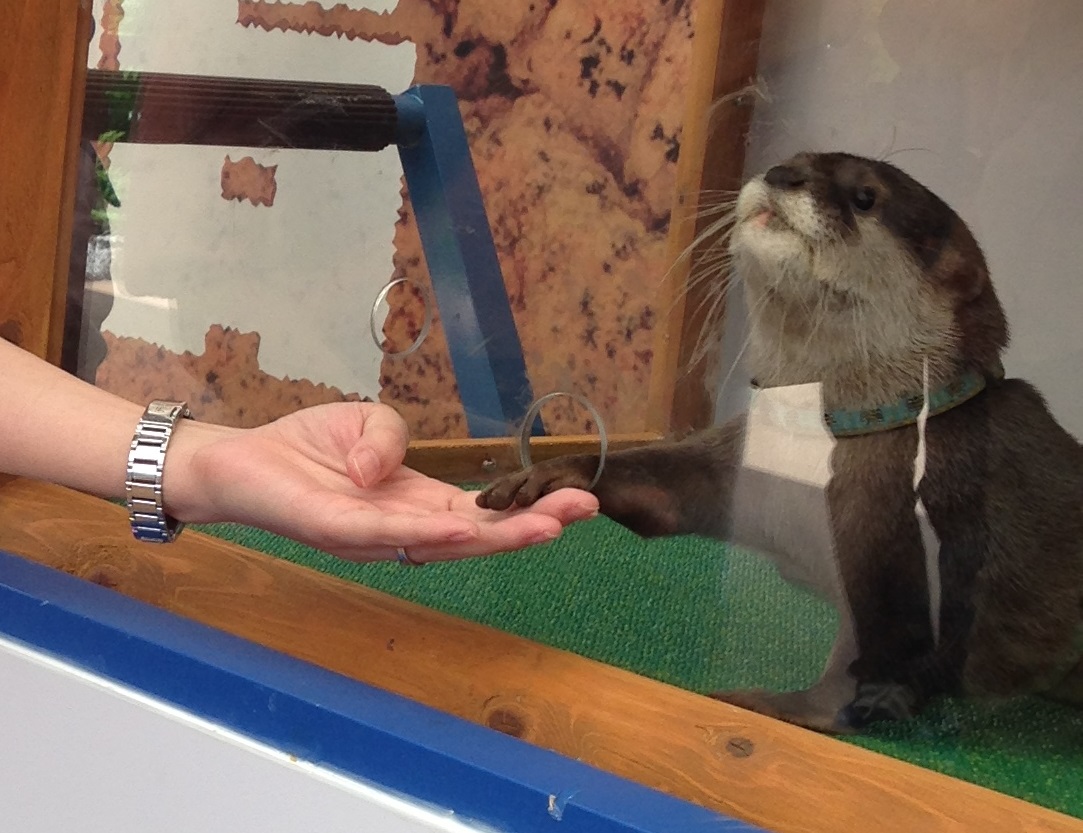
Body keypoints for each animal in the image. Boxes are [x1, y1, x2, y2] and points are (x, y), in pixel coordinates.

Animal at [477, 152, 1083, 733]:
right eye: (798, 157)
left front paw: (770, 705)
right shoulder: (737, 462)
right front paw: (554, 472)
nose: (783, 172)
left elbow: (869, 662)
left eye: (866, 196)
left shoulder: (905, 550)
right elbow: (664, 493)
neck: (815, 456)